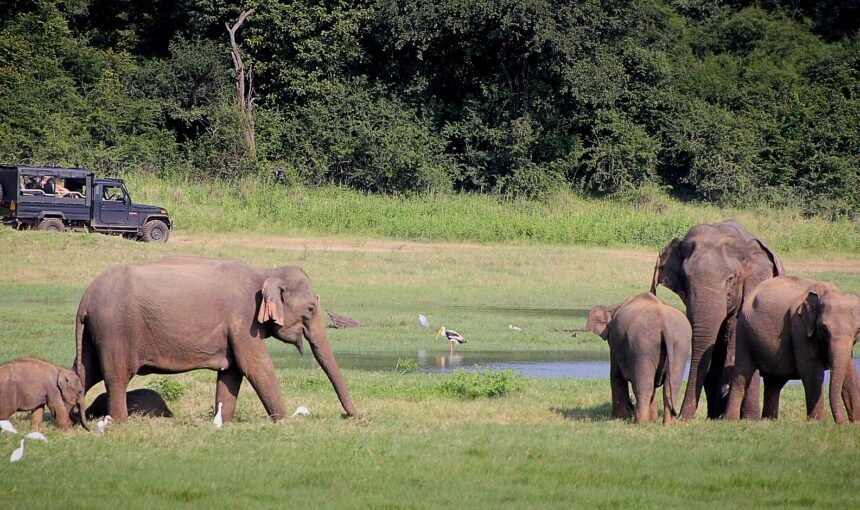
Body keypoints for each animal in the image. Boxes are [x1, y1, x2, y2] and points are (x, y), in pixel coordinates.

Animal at [74, 258, 356, 422]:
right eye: (310, 309)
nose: (350, 415)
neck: (265, 272)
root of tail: (85, 298)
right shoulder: (243, 320)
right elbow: (256, 366)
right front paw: (285, 421)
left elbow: (232, 372)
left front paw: (224, 421)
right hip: (115, 330)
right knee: (116, 375)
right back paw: (119, 422)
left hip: (95, 333)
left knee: (84, 372)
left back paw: (74, 421)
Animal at [584, 292, 692, 424]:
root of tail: (665, 324)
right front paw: (653, 420)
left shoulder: (615, 343)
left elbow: (616, 375)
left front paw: (620, 419)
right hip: (680, 345)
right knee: (670, 386)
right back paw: (668, 425)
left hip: (643, 345)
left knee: (644, 385)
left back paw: (640, 423)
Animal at [724, 276, 860, 424]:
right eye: (823, 328)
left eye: (857, 330)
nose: (842, 423)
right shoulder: (799, 327)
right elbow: (810, 371)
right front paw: (817, 422)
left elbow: (850, 373)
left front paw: (855, 423)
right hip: (743, 331)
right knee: (742, 374)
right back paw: (731, 420)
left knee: (774, 382)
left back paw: (769, 420)